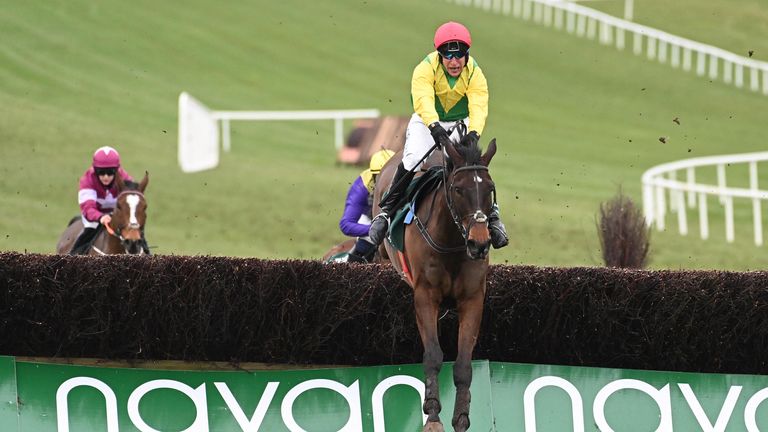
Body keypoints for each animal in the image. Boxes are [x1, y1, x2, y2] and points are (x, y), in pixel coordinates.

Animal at [374, 138, 498, 432]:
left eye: (490, 189)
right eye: (458, 189)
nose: (479, 243)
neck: (452, 242)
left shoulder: (472, 299)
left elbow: (463, 365)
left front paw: (461, 419)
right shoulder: (425, 295)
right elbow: (433, 355)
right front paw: (432, 417)